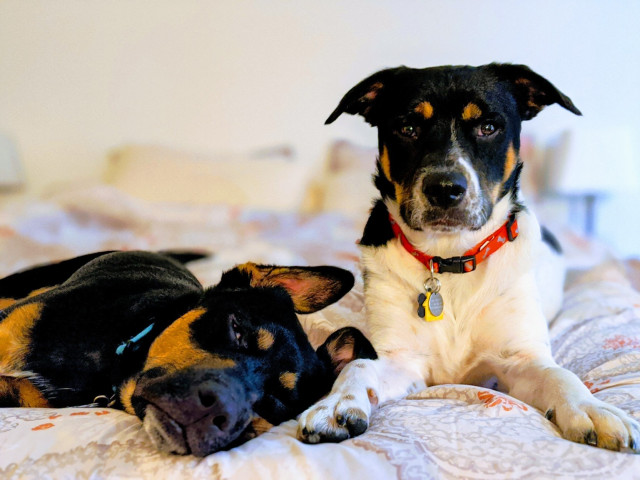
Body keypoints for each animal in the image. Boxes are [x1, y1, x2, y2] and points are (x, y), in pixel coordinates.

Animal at [298, 62, 640, 452]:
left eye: (488, 127)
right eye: (408, 128)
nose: (445, 189)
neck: (450, 258)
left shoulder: (516, 361)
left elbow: (560, 375)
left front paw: (592, 408)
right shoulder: (400, 358)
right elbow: (358, 366)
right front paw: (335, 404)